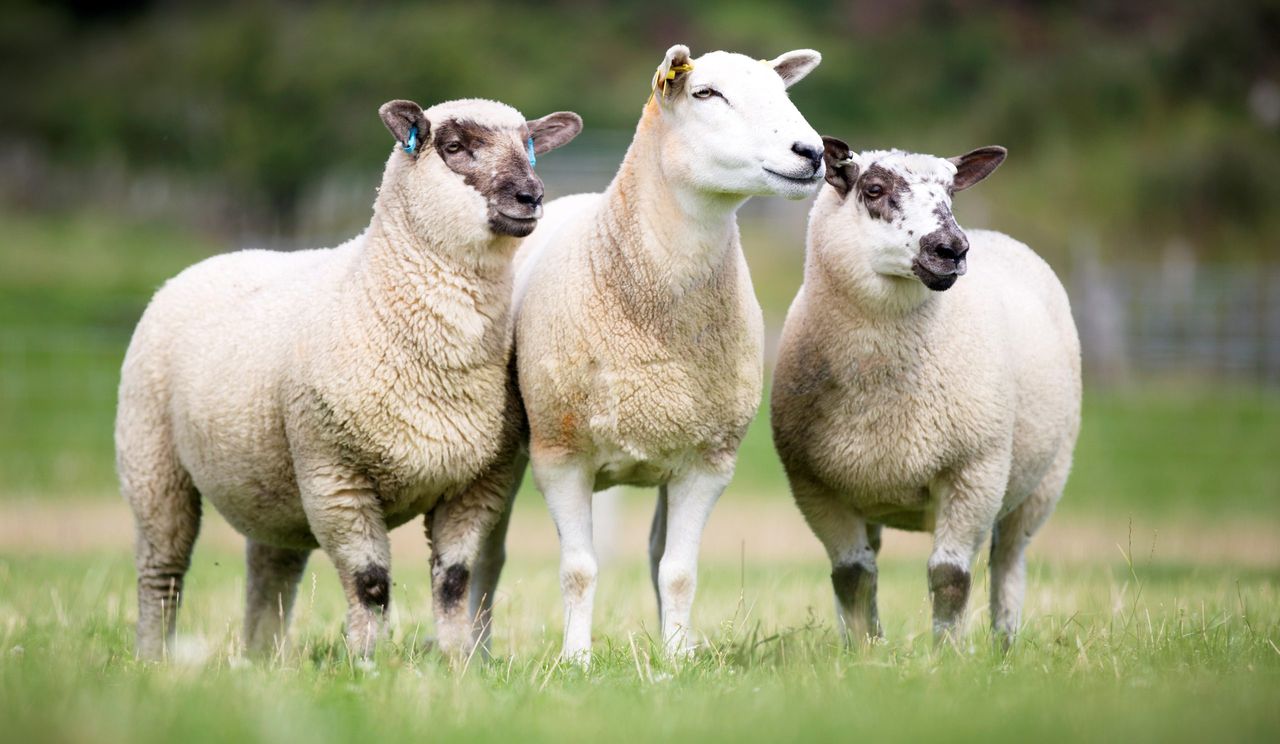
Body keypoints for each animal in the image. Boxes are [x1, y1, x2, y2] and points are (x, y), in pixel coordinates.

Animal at [115, 97, 582, 662]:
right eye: (453, 147)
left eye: (530, 146)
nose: (531, 196)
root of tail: (213, 260)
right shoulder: (335, 478)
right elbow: (371, 582)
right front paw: (365, 662)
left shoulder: (477, 482)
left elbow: (454, 580)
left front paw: (456, 662)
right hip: (153, 461)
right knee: (161, 572)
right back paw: (153, 656)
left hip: (272, 482)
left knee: (271, 571)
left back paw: (262, 659)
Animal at [472, 44, 825, 663]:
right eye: (706, 93)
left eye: (783, 93)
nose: (813, 153)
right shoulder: (561, 455)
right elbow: (579, 569)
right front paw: (576, 659)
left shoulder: (708, 462)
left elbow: (678, 572)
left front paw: (679, 656)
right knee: (487, 555)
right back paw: (474, 649)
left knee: (658, 554)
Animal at [770, 138, 1081, 646]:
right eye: (874, 189)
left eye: (951, 192)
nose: (951, 249)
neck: (881, 389)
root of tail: (996, 234)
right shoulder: (815, 484)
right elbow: (852, 576)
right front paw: (864, 652)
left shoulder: (975, 471)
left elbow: (950, 576)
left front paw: (946, 655)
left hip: (1043, 480)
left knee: (1008, 561)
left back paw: (1004, 644)